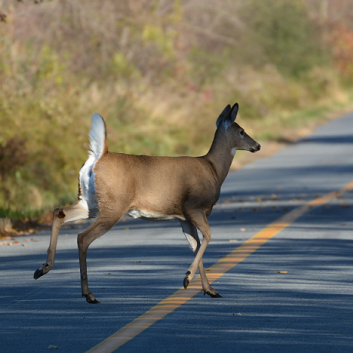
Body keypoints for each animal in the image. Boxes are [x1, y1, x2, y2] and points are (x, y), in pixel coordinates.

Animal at [33, 102, 258, 302]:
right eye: (241, 131)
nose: (257, 145)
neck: (213, 169)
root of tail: (99, 156)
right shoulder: (194, 206)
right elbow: (208, 237)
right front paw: (187, 278)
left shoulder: (183, 217)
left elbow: (195, 246)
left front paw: (209, 289)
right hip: (114, 205)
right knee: (83, 237)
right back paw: (88, 294)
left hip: (90, 202)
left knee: (59, 212)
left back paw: (43, 268)